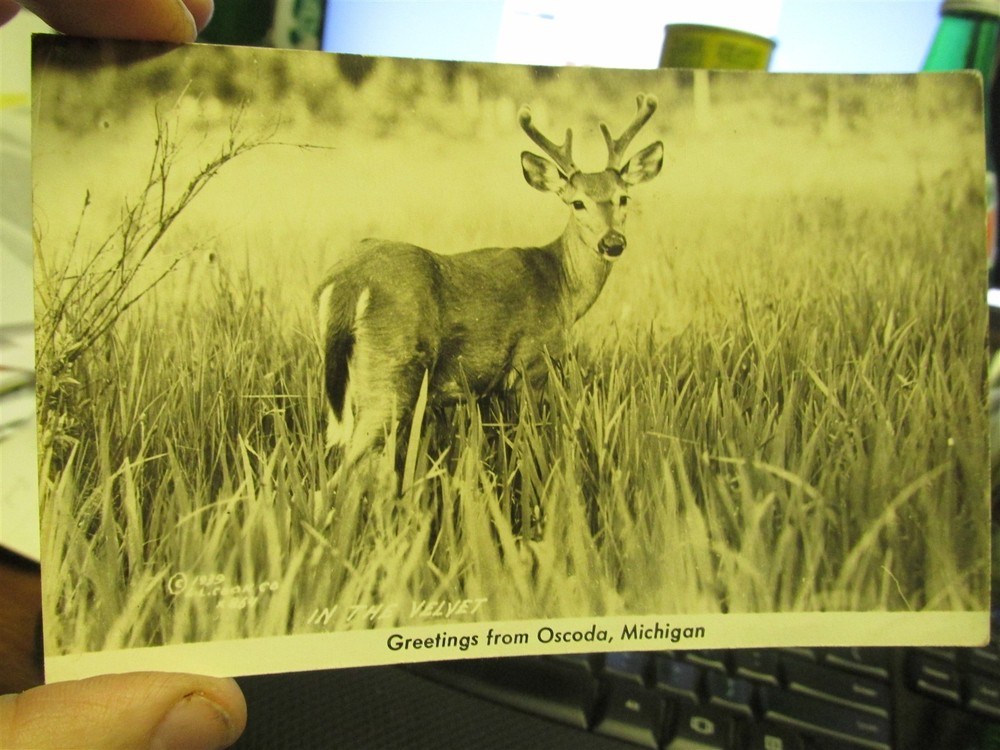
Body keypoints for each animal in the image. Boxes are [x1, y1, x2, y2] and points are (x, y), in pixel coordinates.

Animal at [316, 94, 664, 474]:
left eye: (623, 197)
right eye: (578, 203)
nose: (612, 242)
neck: (561, 288)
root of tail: (347, 281)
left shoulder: (484, 390)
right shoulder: (531, 361)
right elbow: (528, 441)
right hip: (391, 370)